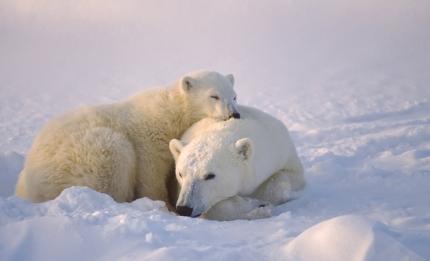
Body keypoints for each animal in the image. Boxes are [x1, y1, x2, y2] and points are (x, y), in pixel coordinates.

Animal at [15, 70, 239, 206]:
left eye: (234, 96)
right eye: (214, 96)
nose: (234, 114)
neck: (173, 112)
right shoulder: (149, 139)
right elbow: (150, 176)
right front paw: (163, 205)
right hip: (83, 157)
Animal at [168, 104, 306, 218]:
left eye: (210, 176)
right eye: (180, 174)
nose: (184, 209)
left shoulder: (279, 149)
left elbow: (290, 175)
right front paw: (256, 207)